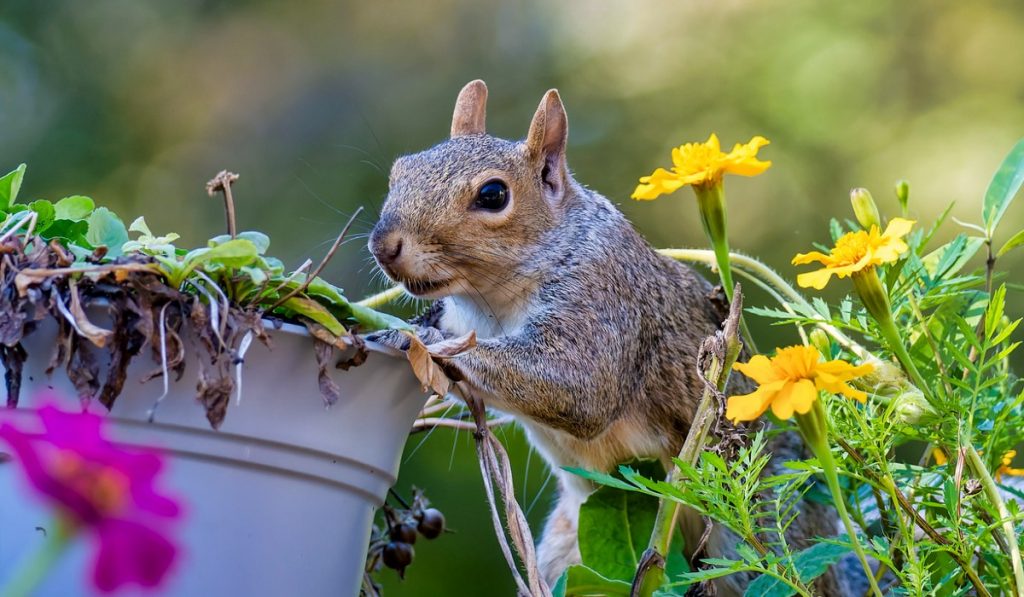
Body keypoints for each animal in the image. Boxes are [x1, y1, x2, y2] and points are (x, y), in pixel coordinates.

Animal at [368, 80, 856, 597]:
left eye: (494, 194)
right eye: (400, 171)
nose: (384, 245)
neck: (492, 302)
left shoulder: (604, 298)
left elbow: (578, 387)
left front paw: (412, 340)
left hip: (759, 530)